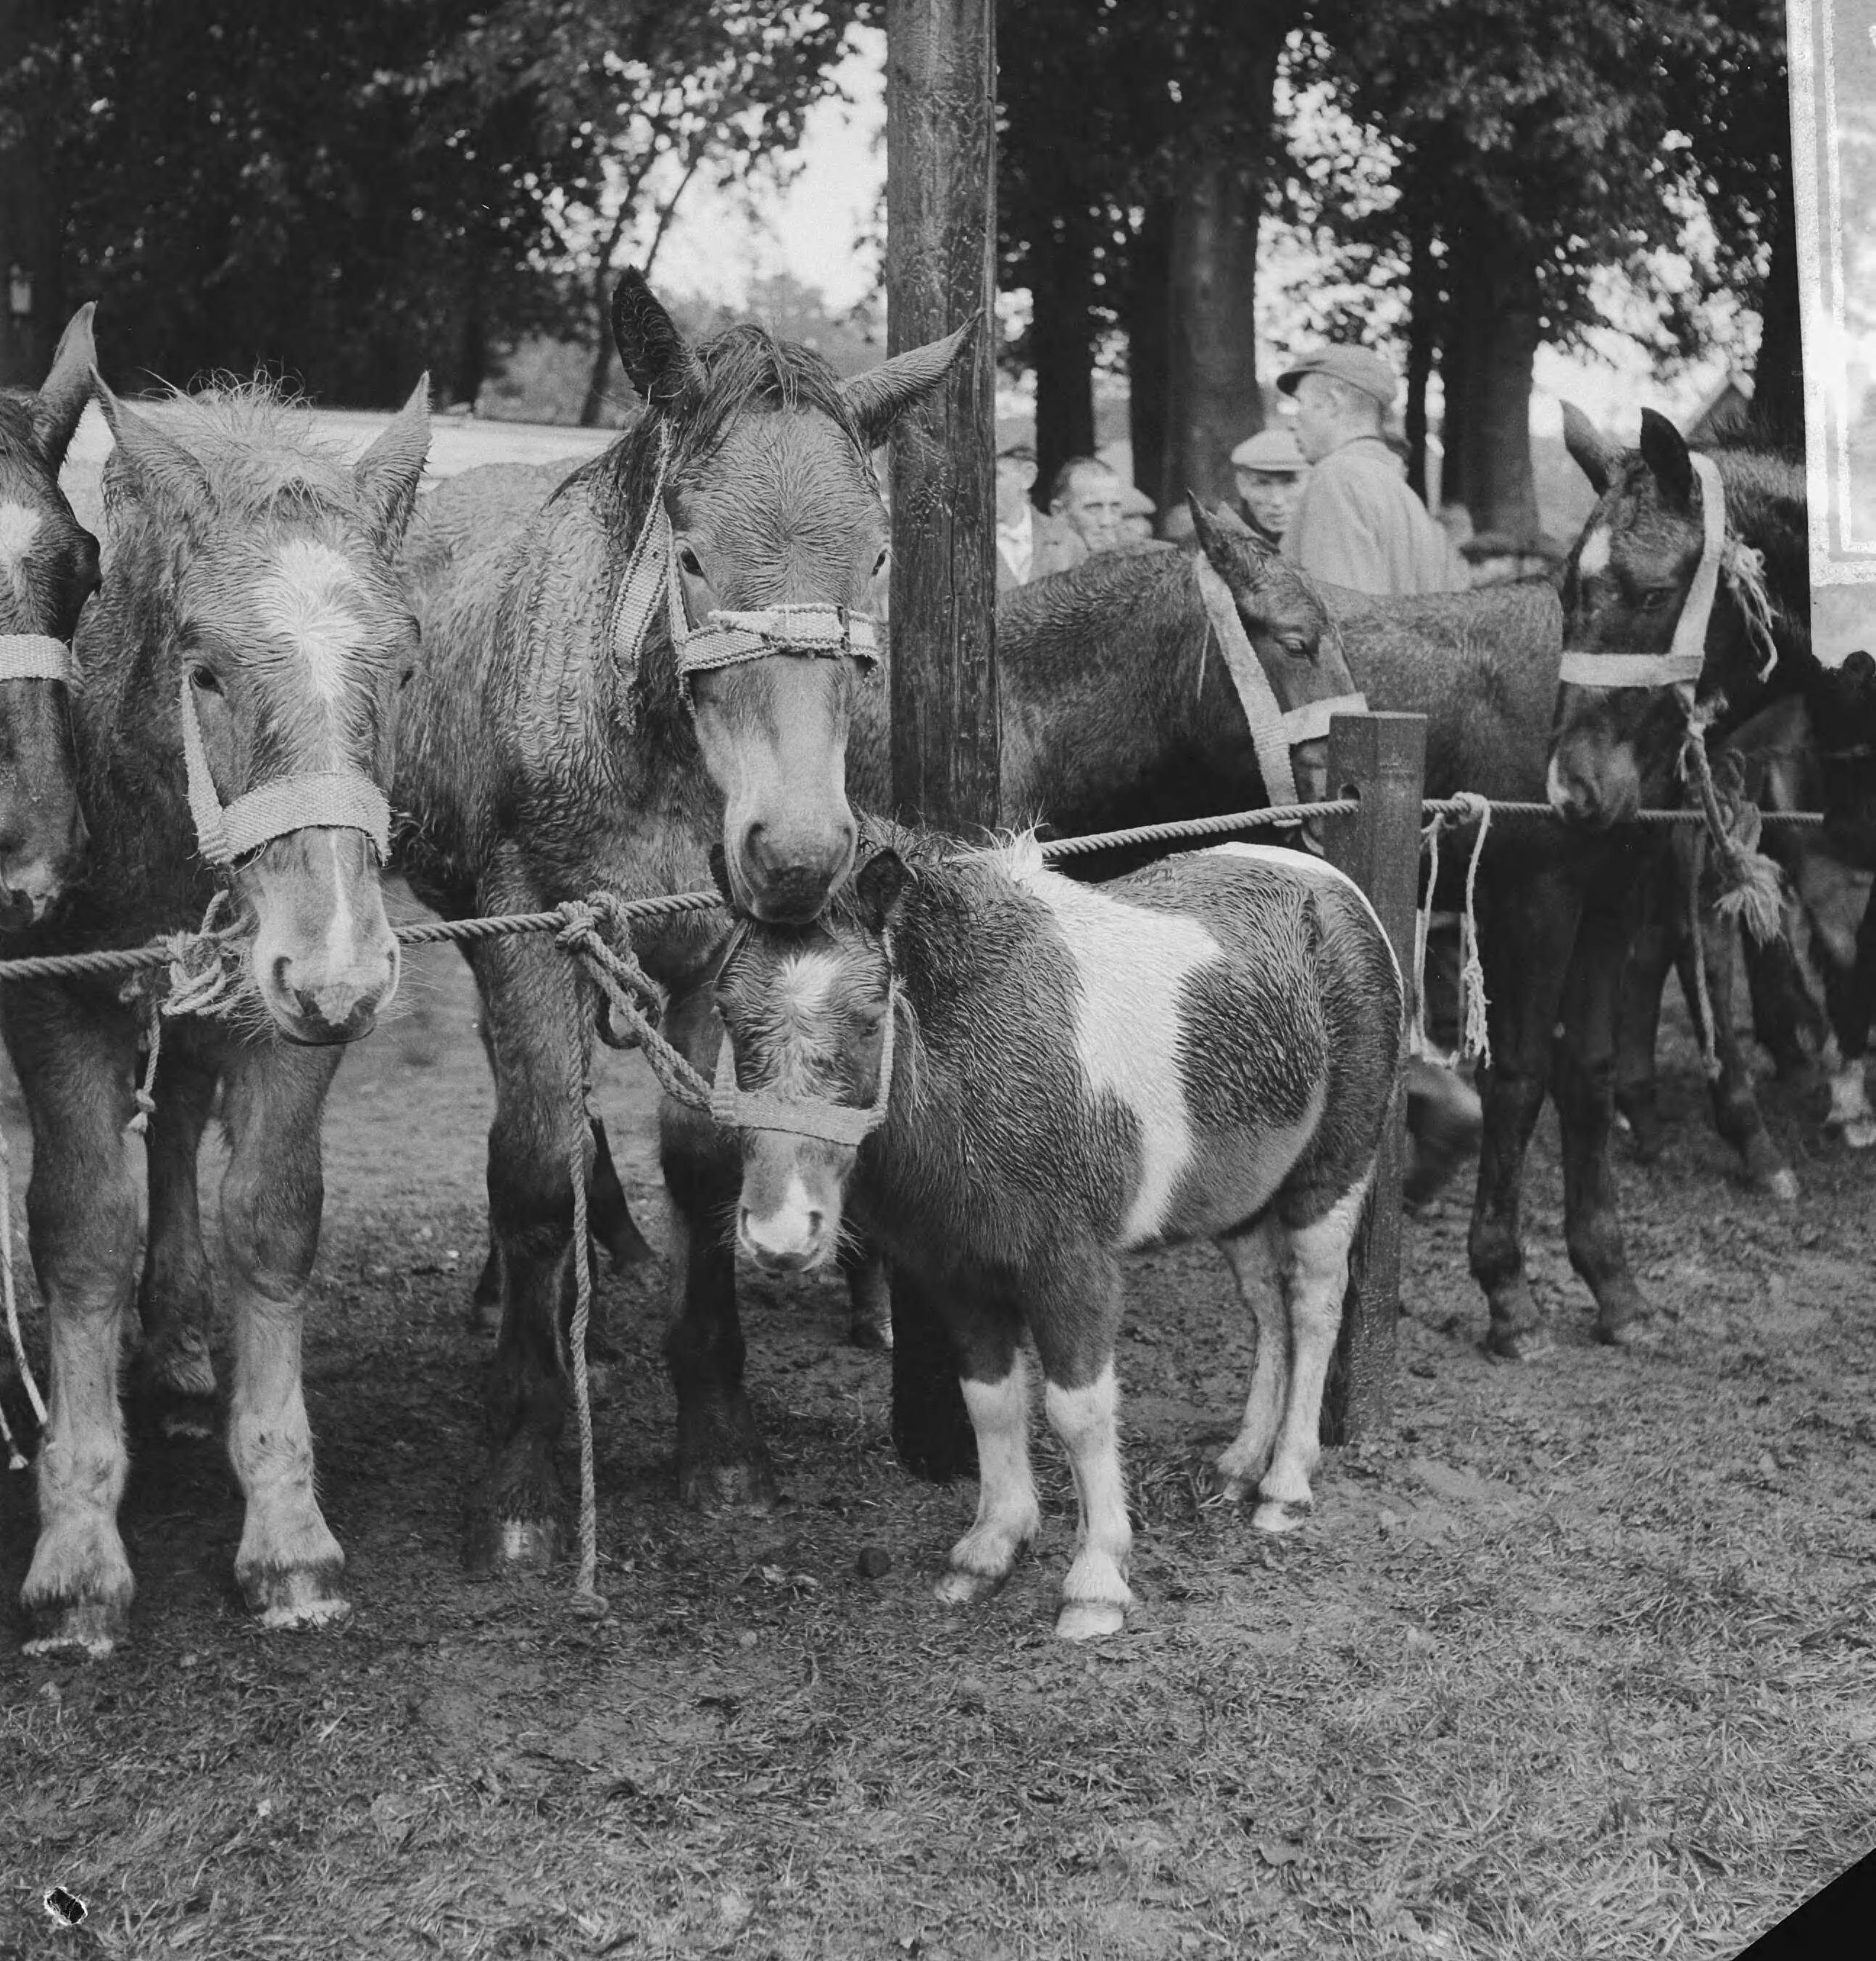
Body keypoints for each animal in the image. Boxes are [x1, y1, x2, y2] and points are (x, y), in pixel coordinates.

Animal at [5, 373, 430, 1657]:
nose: (342, 965)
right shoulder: (55, 1006)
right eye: (205, 670)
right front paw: (78, 1553)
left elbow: (271, 1219)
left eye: (404, 669)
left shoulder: (280, 1021)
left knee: (184, 1128)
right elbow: (82, 1232)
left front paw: (287, 1534)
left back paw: (188, 1345)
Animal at [392, 271, 968, 1569]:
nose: (799, 850)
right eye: (694, 556)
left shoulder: (711, 948)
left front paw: (720, 1442)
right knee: (533, 1127)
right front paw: (521, 1472)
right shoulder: (527, 931)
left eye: (877, 556)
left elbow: (705, 1162)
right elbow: (531, 1173)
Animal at [705, 820, 1403, 1640]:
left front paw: (1096, 1581)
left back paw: (1284, 1486)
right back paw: (1239, 1466)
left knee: (1313, 1308)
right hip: (1242, 1201)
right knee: (1267, 1311)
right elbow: (991, 1400)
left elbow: (1078, 1411)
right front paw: (988, 1548)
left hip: (1330, 1178)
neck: (977, 1053)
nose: (781, 1235)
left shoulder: (1072, 1268)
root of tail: (1335, 886)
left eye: (870, 1016)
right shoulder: (957, 1272)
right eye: (725, 1012)